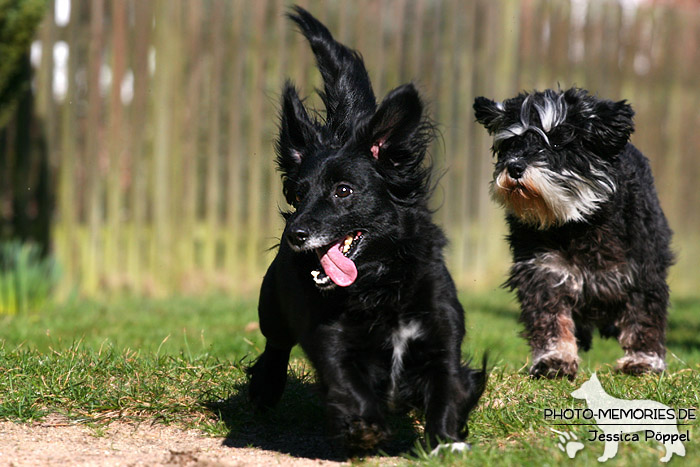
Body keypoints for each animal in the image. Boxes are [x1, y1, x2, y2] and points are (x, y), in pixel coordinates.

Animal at [247, 6, 486, 454]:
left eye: (344, 191)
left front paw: (447, 441)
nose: (295, 235)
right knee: (276, 346)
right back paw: (265, 389)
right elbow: (347, 382)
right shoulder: (332, 340)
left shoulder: (442, 336)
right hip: (271, 309)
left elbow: (447, 386)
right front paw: (366, 427)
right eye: (299, 193)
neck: (381, 284)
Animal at [474, 88, 676, 380]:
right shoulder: (543, 273)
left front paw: (643, 361)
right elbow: (551, 319)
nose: (514, 168)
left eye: (558, 144)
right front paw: (554, 359)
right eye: (512, 144)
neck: (575, 223)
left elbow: (643, 316)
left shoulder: (641, 272)